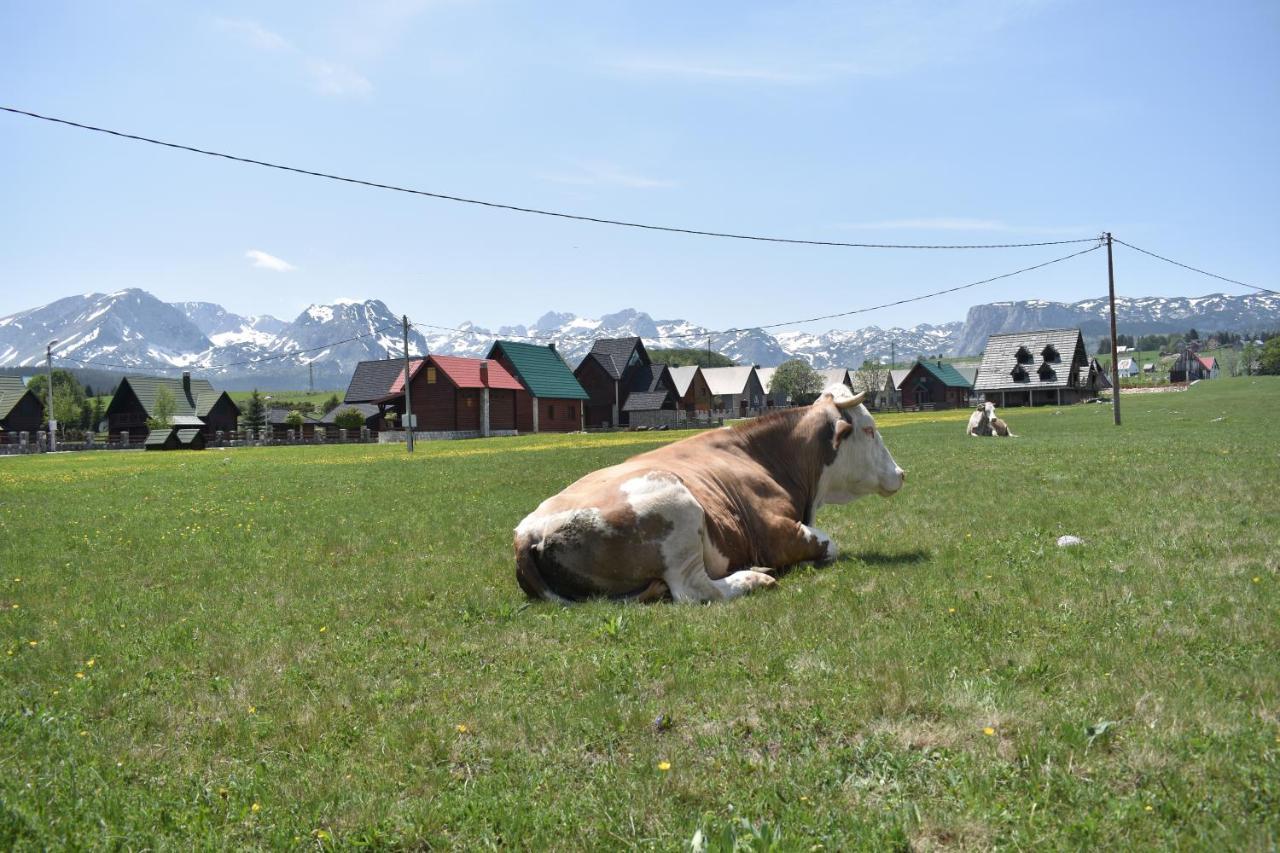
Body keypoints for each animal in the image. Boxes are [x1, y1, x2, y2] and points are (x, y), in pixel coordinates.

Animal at [514, 381, 906, 601]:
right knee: (694, 591)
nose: (901, 473)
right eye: (869, 429)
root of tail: (529, 529)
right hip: (678, 512)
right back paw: (754, 578)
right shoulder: (777, 533)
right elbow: (831, 545)